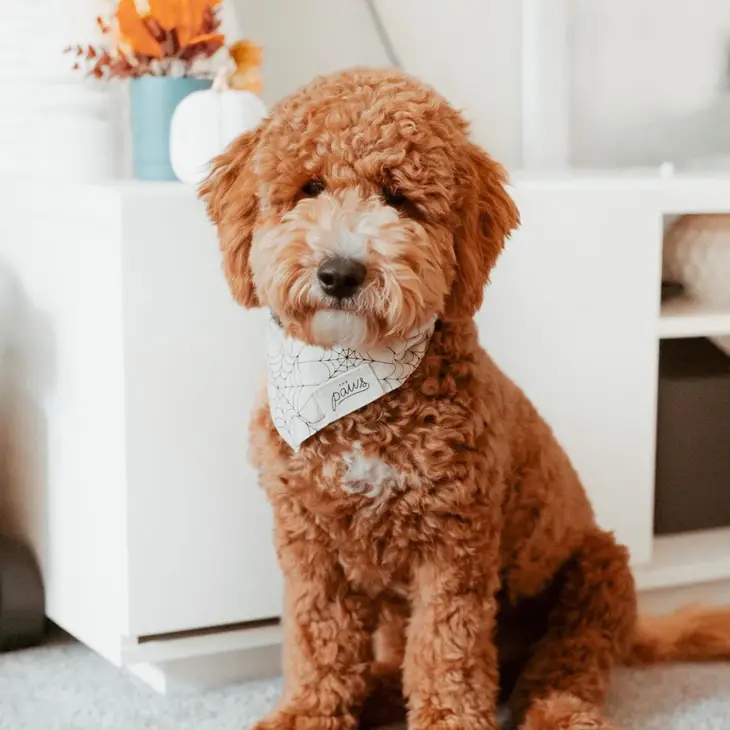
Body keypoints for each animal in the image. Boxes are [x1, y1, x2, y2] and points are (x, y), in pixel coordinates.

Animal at [199, 68, 728, 728]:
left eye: (398, 198)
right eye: (308, 188)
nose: (340, 272)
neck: (359, 398)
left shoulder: (452, 546)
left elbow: (444, 652)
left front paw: (449, 718)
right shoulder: (310, 543)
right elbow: (318, 638)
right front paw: (307, 713)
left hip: (595, 571)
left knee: (567, 664)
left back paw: (559, 711)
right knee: (395, 662)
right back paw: (374, 693)